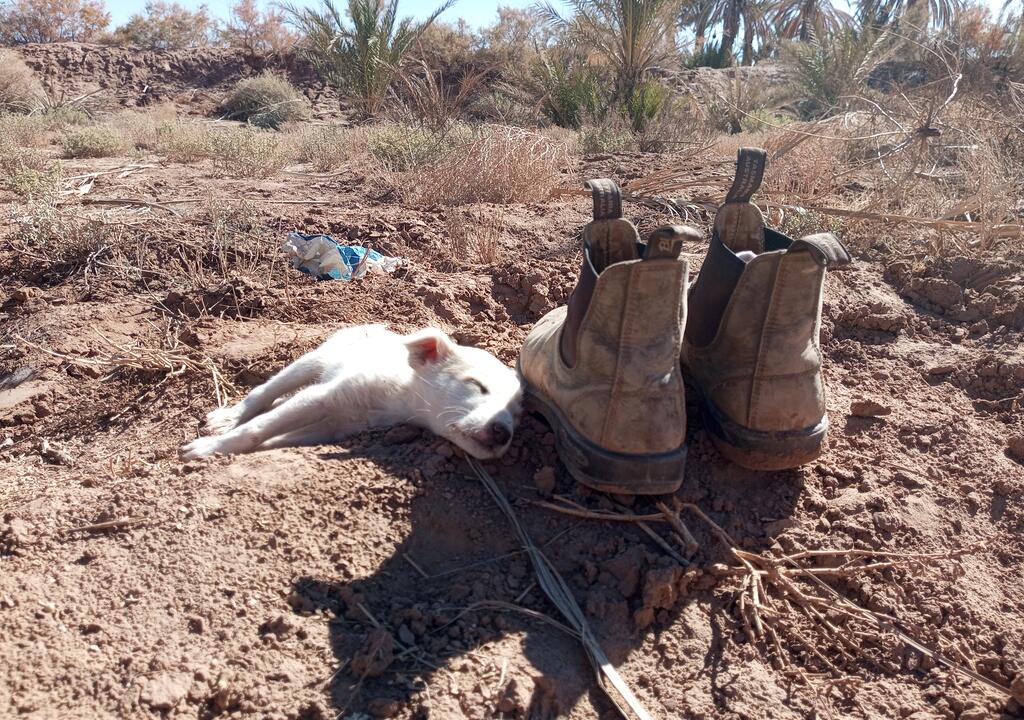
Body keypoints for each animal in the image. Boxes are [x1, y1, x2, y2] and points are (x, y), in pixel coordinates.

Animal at [179, 325, 522, 461]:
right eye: (477, 386)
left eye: (517, 414)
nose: (504, 432)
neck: (398, 399)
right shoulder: (325, 397)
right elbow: (256, 428)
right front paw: (209, 448)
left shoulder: (336, 425)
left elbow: (274, 437)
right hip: (312, 360)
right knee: (265, 391)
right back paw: (227, 418)